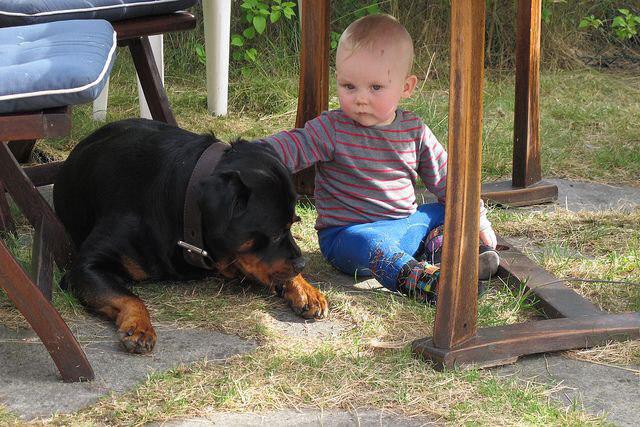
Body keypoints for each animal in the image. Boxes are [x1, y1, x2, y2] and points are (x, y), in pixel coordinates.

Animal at [53, 118, 330, 354]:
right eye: (274, 233)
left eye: (293, 224)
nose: (302, 263)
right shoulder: (85, 268)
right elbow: (129, 297)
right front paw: (139, 326)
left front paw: (306, 289)